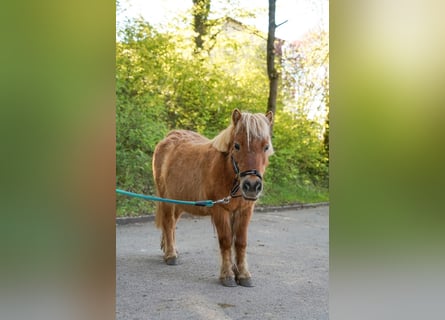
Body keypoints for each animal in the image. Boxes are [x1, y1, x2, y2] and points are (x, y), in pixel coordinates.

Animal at [151, 109, 272, 286]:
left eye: (266, 147)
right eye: (237, 145)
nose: (251, 186)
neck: (227, 172)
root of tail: (168, 138)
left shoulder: (244, 211)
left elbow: (240, 242)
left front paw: (243, 274)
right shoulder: (220, 210)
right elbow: (226, 241)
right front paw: (227, 275)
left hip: (180, 201)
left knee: (172, 224)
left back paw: (169, 249)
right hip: (166, 198)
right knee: (168, 222)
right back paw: (171, 254)